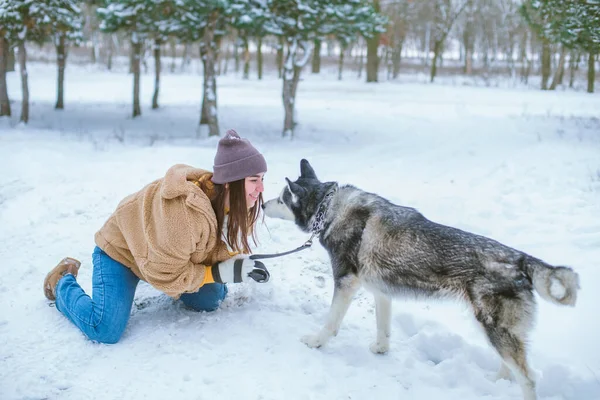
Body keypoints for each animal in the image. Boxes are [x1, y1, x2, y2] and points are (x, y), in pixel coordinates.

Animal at [264, 159, 580, 400]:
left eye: (281, 199)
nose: (264, 205)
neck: (329, 209)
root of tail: (521, 259)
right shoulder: (381, 292)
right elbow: (383, 329)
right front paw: (381, 350)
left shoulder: (345, 283)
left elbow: (330, 324)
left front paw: (316, 342)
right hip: (497, 330)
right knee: (511, 367)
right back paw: (496, 383)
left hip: (494, 328)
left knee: (527, 378)